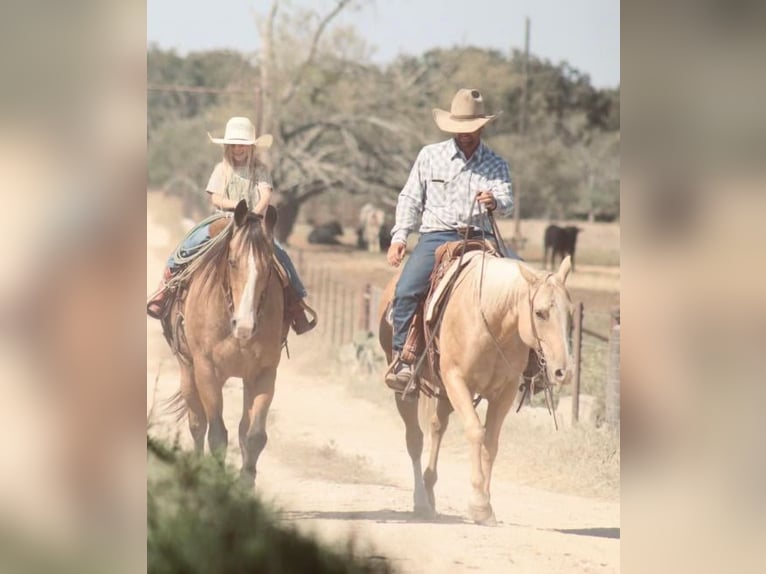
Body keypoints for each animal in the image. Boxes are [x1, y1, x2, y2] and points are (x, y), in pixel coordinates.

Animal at [165, 200, 288, 484]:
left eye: (268, 266)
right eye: (232, 262)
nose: (245, 326)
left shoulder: (264, 374)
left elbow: (254, 436)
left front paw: (245, 486)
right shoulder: (207, 370)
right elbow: (217, 434)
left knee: (242, 428)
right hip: (188, 370)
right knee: (197, 424)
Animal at [380, 254, 572, 524]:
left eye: (570, 313)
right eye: (540, 313)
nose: (563, 371)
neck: (492, 321)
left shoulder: (505, 392)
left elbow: (491, 442)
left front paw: (486, 503)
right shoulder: (457, 380)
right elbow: (475, 432)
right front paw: (479, 504)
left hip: (445, 393)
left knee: (437, 427)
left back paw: (429, 490)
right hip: (407, 388)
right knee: (415, 438)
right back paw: (421, 501)